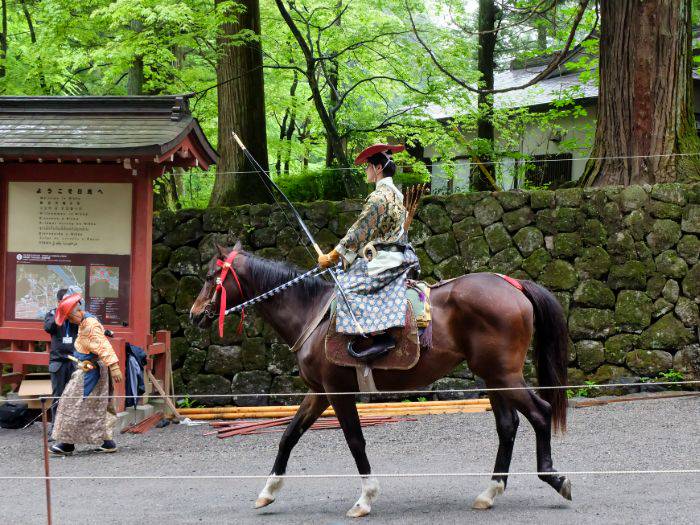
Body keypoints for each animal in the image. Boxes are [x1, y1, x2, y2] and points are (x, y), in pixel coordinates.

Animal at [189, 242, 572, 516]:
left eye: (209, 277)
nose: (194, 315)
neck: (310, 313)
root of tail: (513, 284)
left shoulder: (338, 391)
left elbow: (355, 441)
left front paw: (365, 498)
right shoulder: (319, 392)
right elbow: (288, 436)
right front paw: (267, 491)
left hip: (504, 374)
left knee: (540, 412)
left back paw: (554, 476)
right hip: (491, 375)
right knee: (508, 426)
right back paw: (490, 491)